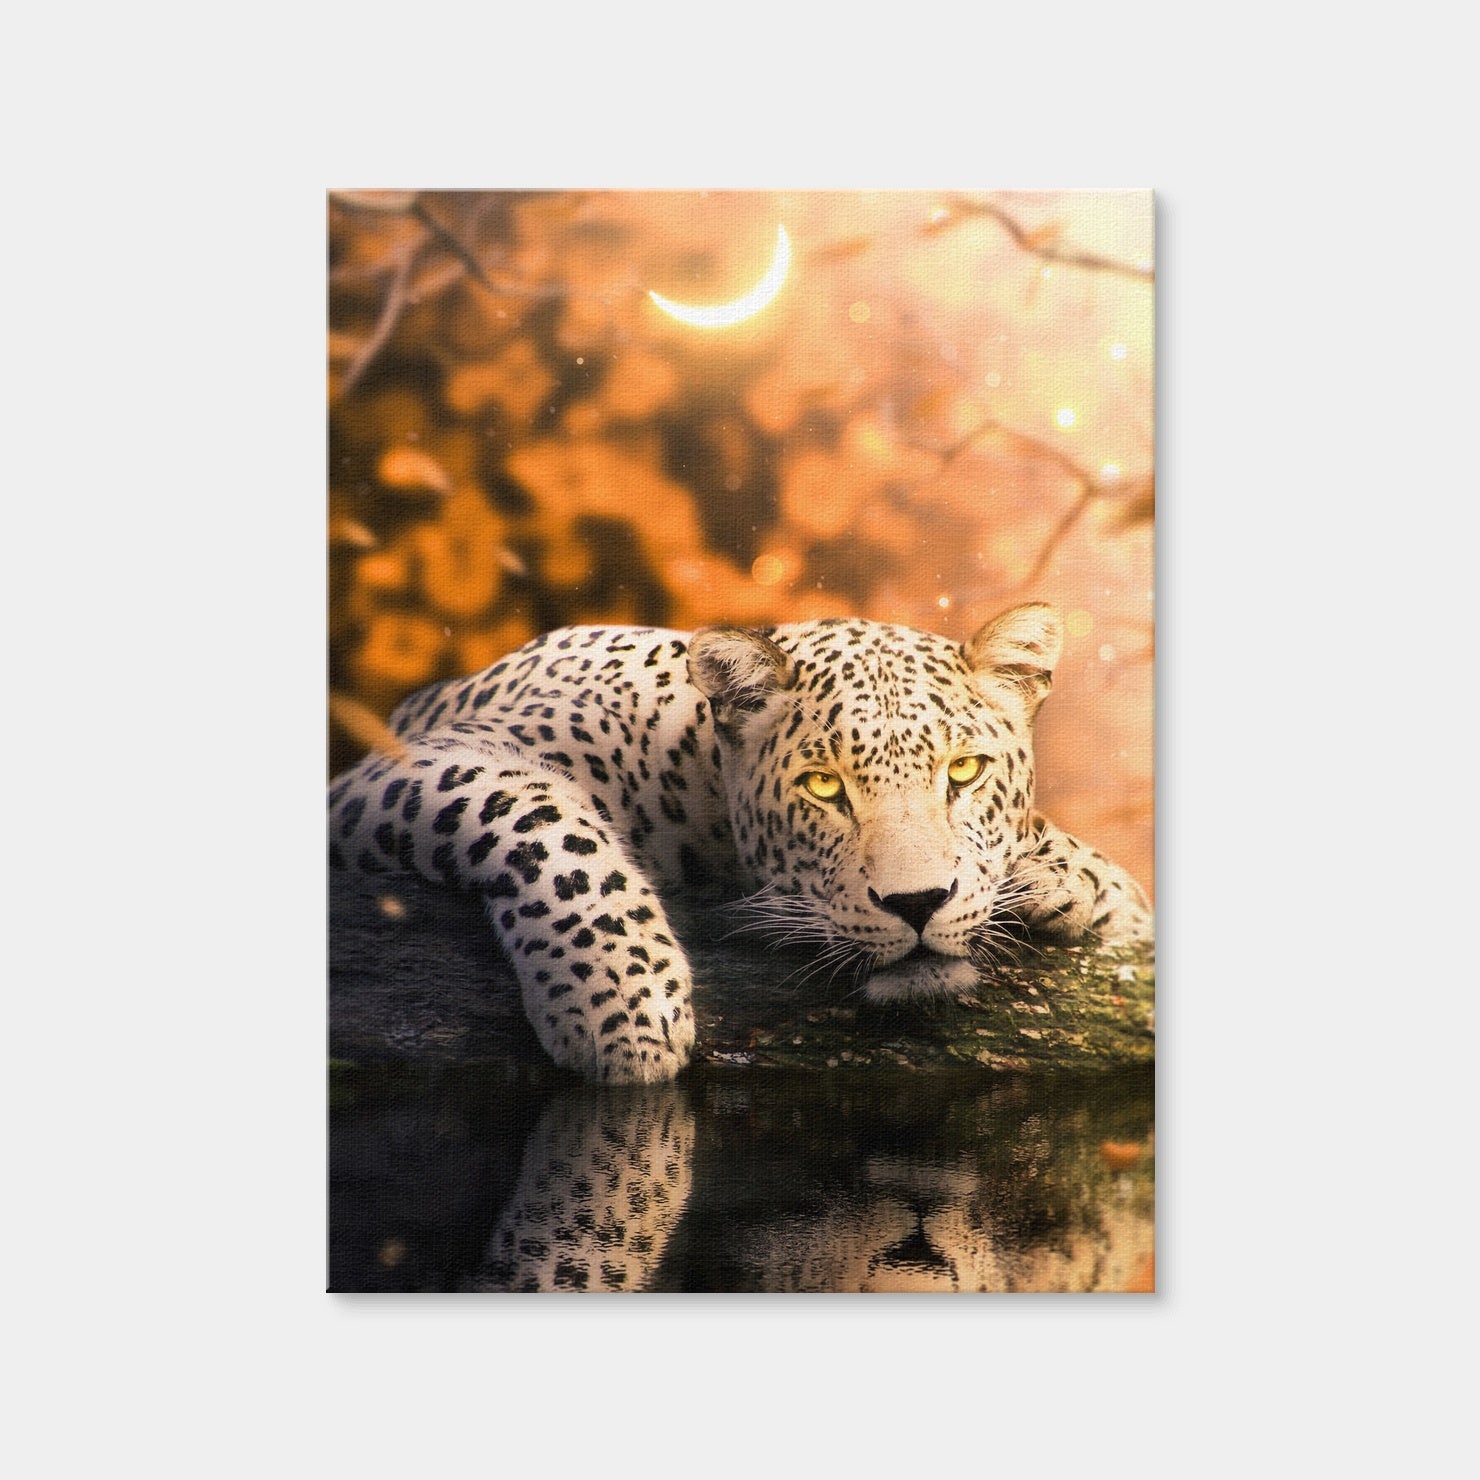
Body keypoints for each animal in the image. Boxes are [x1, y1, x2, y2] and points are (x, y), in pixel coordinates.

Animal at [327, 602, 1152, 1083]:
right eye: (823, 787)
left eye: (965, 772)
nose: (917, 904)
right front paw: (624, 1002)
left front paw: (1078, 880)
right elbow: (543, 820)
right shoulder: (407, 767)